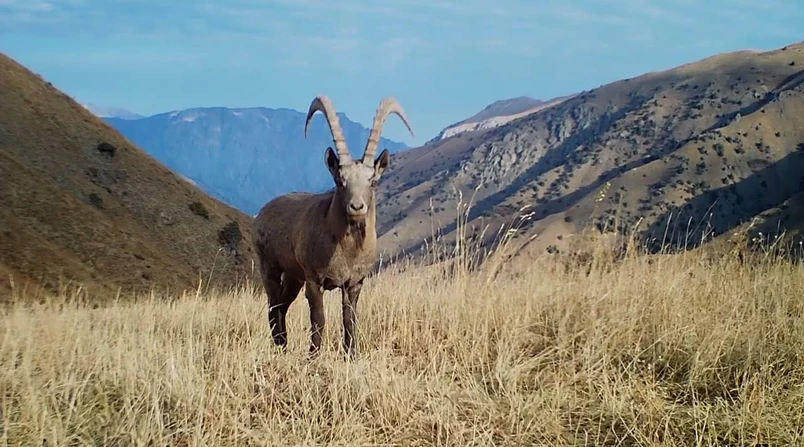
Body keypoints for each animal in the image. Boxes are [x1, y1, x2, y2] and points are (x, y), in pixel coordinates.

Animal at [253, 94, 414, 356]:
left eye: (372, 181)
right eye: (340, 180)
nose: (357, 207)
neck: (346, 251)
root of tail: (261, 213)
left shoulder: (353, 284)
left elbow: (349, 320)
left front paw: (351, 354)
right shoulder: (314, 280)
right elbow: (318, 319)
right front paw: (314, 355)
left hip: (294, 277)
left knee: (282, 306)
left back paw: (283, 345)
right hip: (270, 267)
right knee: (273, 305)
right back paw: (280, 346)